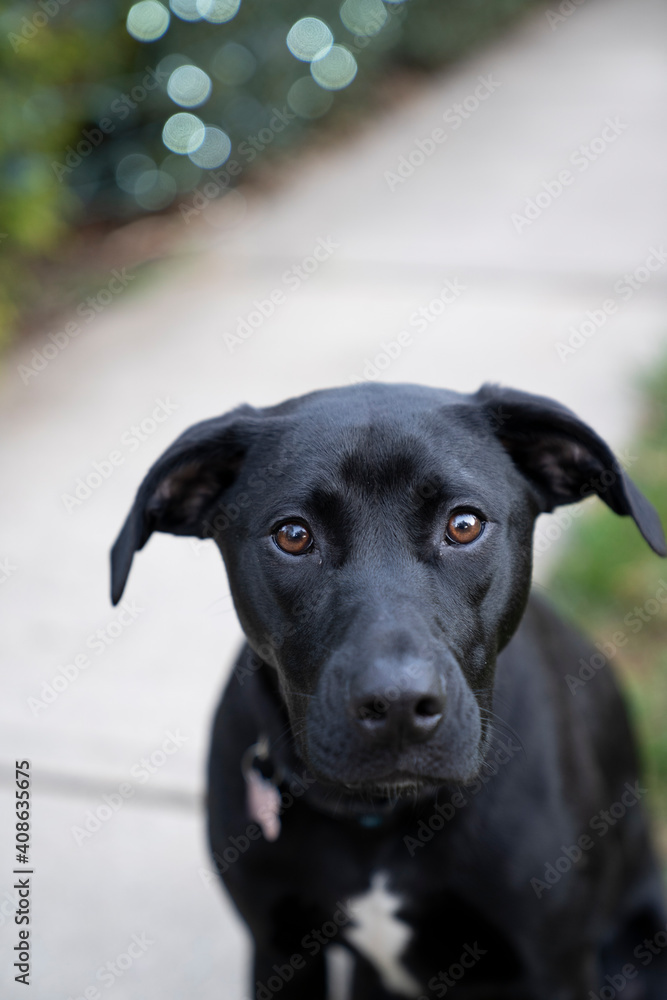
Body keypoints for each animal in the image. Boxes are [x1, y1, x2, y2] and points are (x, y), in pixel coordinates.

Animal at [111, 382, 667, 1000]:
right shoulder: (279, 951)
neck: (380, 815)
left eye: (464, 525)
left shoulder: (557, 964)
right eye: (293, 535)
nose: (399, 707)